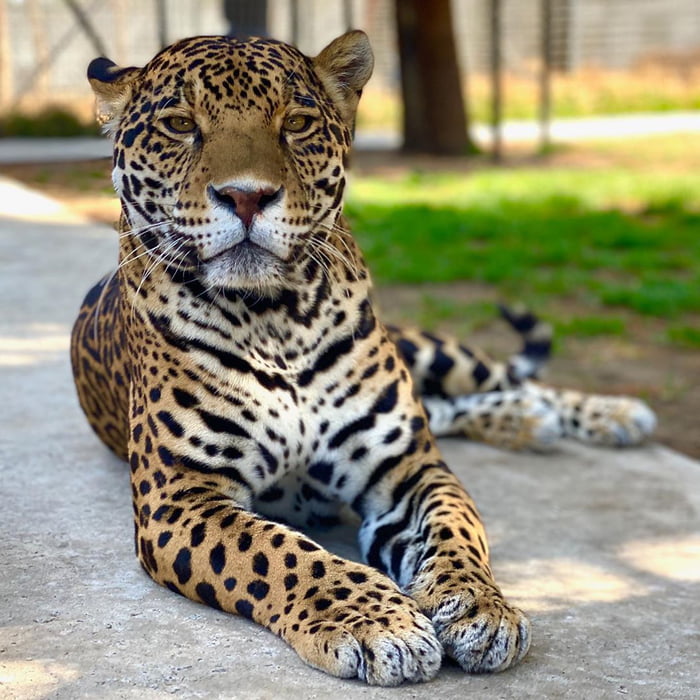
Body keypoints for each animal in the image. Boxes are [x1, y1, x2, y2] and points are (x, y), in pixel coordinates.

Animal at [70, 31, 655, 686]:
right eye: (178, 124)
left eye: (296, 123)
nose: (247, 197)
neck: (275, 319)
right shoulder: (179, 496)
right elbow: (278, 553)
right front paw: (379, 623)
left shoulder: (407, 467)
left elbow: (456, 530)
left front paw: (481, 607)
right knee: (455, 407)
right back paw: (527, 423)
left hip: (433, 352)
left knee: (500, 380)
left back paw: (606, 414)